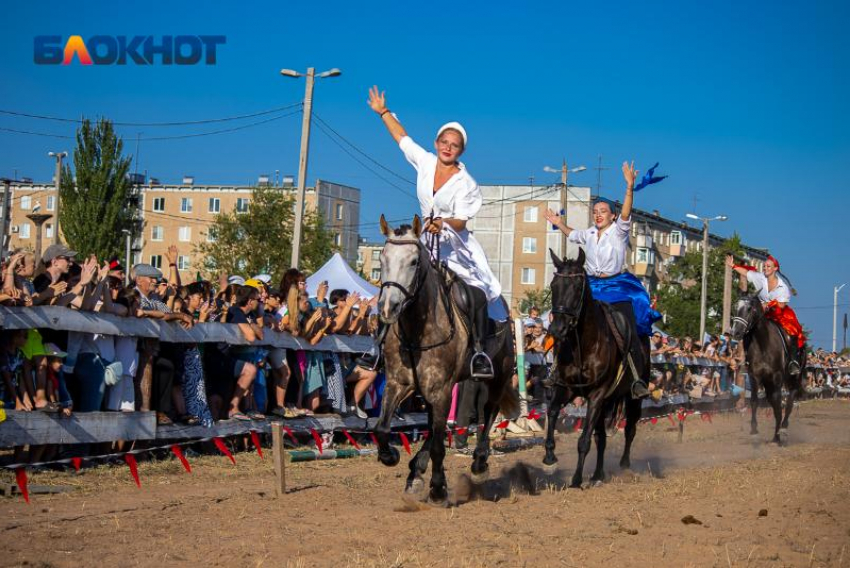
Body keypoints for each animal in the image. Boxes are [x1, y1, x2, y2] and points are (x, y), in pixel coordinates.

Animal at [372, 215, 516, 504]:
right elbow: (382, 428)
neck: (418, 330)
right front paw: (392, 456)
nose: (388, 308)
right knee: (434, 427)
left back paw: (479, 463)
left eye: (414, 262)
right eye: (382, 258)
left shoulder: (441, 390)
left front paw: (438, 488)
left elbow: (440, 444)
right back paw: (416, 469)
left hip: (499, 377)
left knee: (488, 412)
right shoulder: (398, 384)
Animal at [544, 248, 644, 488]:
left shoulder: (596, 395)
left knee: (630, 429)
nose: (557, 329)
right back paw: (598, 474)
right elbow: (552, 412)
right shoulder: (567, 388)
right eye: (554, 285)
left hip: (632, 398)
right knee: (601, 437)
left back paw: (624, 465)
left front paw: (576, 479)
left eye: (577, 287)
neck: (584, 344)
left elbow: (584, 439)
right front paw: (550, 458)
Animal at [724, 296, 800, 446]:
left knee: (789, 400)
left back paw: (783, 429)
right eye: (735, 307)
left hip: (792, 379)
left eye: (749, 309)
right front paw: (754, 432)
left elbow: (778, 402)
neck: (763, 344)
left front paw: (778, 435)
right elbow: (755, 401)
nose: (735, 332)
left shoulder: (777, 377)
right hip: (767, 382)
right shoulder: (755, 376)